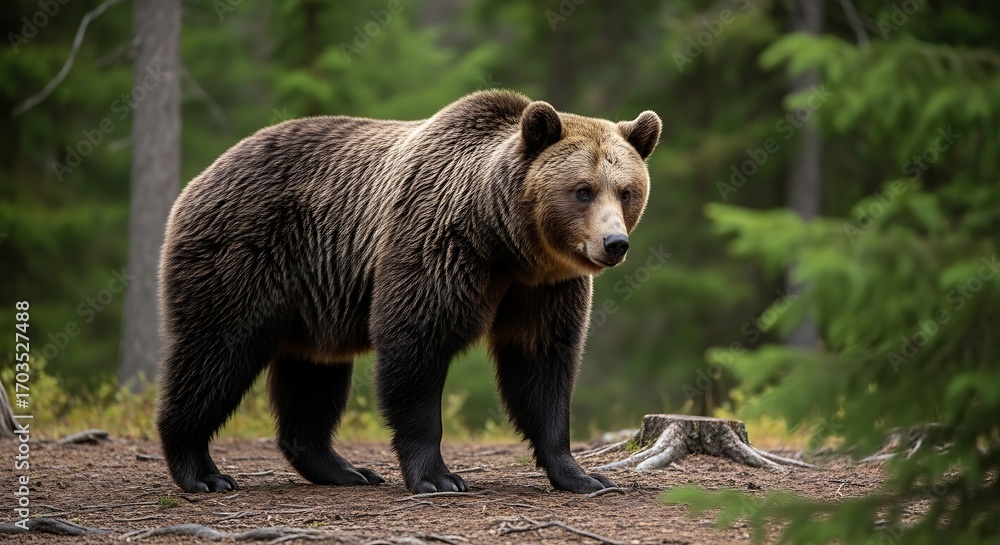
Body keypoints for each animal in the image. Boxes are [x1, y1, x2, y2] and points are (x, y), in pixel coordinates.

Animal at [156, 89, 661, 494]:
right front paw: (438, 477)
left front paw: (585, 476)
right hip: (245, 255)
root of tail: (205, 174)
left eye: (626, 190)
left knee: (314, 373)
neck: (505, 240)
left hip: (313, 297)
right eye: (583, 190)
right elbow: (416, 349)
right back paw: (202, 471)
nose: (614, 243)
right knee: (217, 353)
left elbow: (543, 367)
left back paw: (345, 469)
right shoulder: (437, 247)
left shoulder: (543, 289)